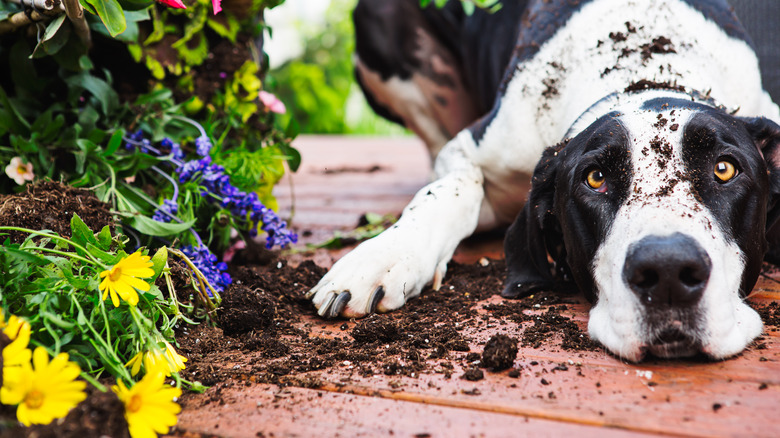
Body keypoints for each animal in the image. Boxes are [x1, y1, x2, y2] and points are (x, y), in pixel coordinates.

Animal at [304, 0, 780, 362]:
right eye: (595, 178)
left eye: (725, 169)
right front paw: (382, 256)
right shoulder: (471, 149)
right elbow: (449, 190)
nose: (667, 272)